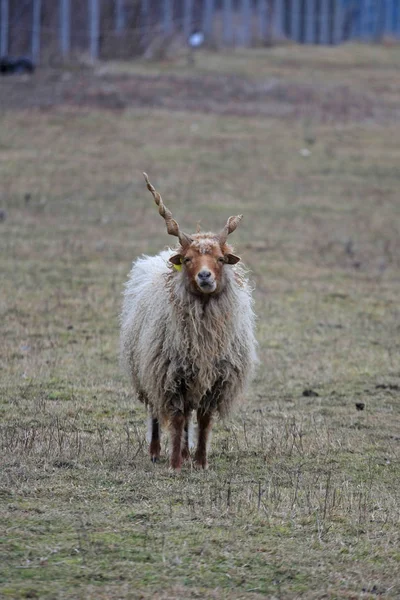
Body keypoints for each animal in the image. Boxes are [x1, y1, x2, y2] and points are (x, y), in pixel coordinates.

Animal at [119, 173, 256, 468]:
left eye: (220, 259)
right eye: (188, 259)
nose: (205, 276)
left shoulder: (215, 378)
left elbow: (202, 421)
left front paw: (201, 462)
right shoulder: (169, 374)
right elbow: (177, 417)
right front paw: (175, 465)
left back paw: (184, 451)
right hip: (148, 370)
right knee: (158, 413)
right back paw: (156, 452)